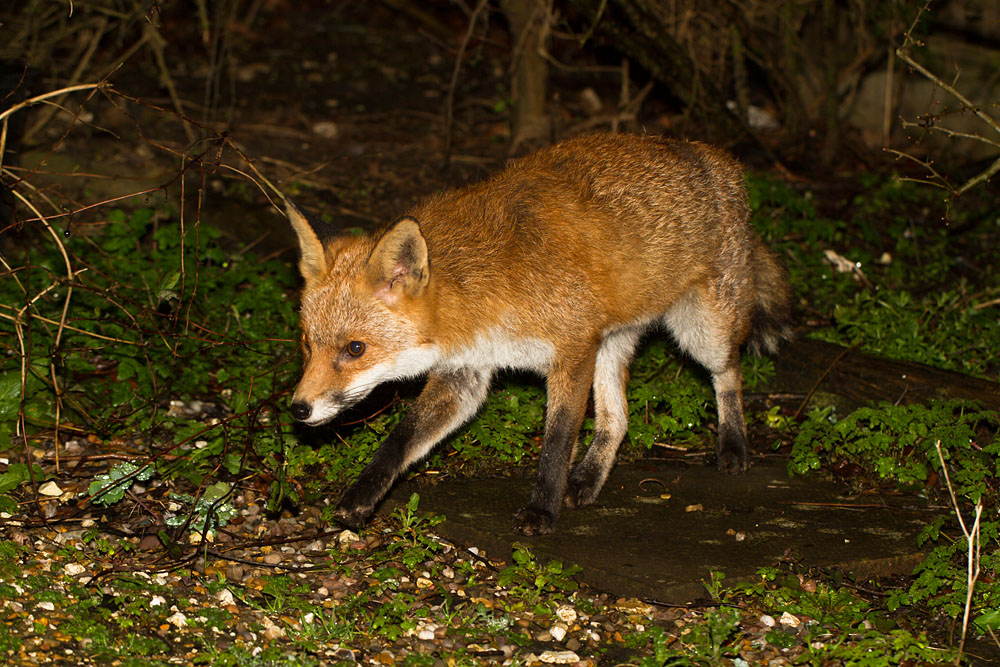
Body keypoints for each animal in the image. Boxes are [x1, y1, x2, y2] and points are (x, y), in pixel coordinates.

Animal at [285, 132, 793, 536]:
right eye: (308, 343)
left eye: (355, 349)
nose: (298, 409)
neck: (484, 292)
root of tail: (716, 155)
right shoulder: (465, 373)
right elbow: (401, 439)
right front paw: (361, 495)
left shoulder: (572, 350)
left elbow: (556, 441)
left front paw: (541, 511)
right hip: (615, 341)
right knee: (618, 420)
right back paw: (587, 480)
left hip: (700, 332)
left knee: (729, 373)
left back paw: (733, 445)